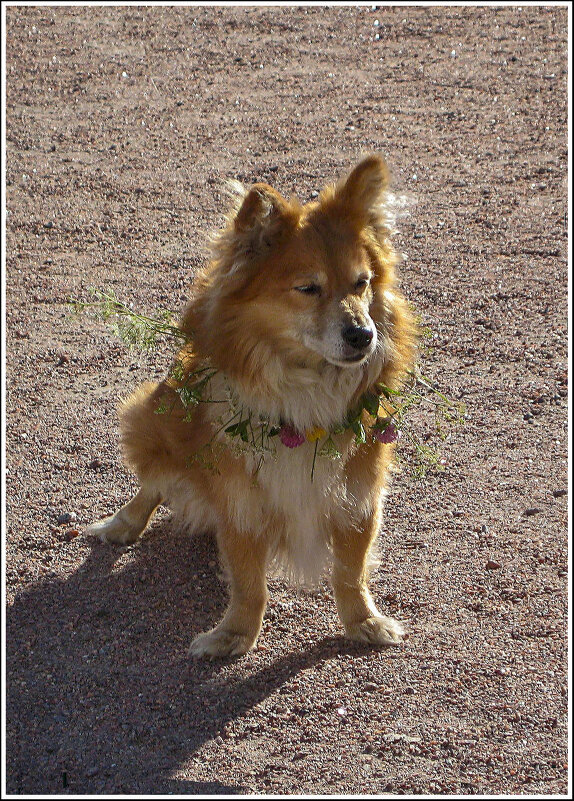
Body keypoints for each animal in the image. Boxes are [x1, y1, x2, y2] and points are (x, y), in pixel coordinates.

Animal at [86, 156, 418, 656]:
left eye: (362, 283)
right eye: (308, 288)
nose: (363, 334)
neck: (305, 397)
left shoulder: (359, 493)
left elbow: (350, 572)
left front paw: (363, 622)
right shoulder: (241, 504)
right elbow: (249, 584)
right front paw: (234, 636)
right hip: (151, 417)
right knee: (152, 485)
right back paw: (121, 525)